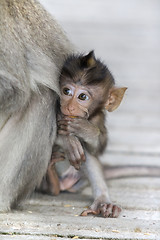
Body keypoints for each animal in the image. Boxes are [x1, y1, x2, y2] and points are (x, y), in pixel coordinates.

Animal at [40, 50, 127, 218]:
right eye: (66, 91)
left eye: (82, 97)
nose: (69, 106)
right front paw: (68, 140)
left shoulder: (98, 118)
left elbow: (97, 149)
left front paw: (85, 129)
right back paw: (52, 181)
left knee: (87, 153)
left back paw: (102, 202)